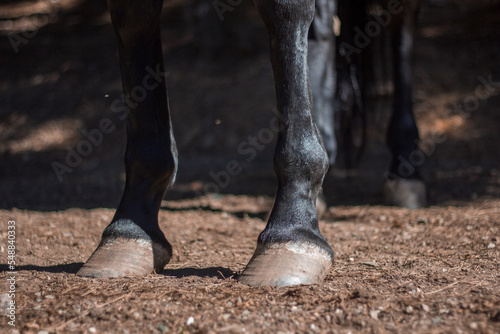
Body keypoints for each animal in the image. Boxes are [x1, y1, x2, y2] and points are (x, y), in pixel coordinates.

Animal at [78, 0, 426, 288]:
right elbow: (136, 18)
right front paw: (130, 227)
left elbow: (284, 11)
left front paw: (291, 231)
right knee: (321, 32)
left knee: (401, 19)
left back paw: (405, 166)